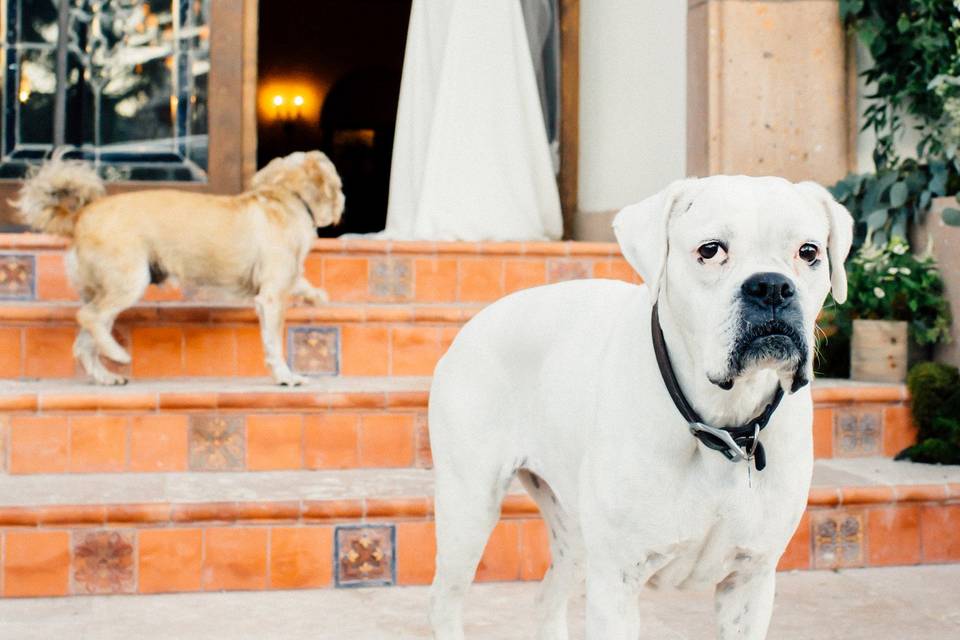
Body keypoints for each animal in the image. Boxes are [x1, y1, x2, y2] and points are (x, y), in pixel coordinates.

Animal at [15, 151, 344, 384]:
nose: (345, 199)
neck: (288, 196)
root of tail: (80, 216)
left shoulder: (282, 279)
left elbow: (304, 283)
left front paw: (317, 297)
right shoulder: (272, 297)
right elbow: (274, 343)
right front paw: (286, 377)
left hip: (104, 291)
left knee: (85, 340)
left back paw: (107, 375)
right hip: (129, 281)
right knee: (88, 317)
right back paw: (118, 355)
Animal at [428, 175, 856, 640]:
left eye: (809, 252)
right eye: (711, 250)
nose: (772, 286)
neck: (721, 422)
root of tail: (476, 320)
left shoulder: (751, 581)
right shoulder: (617, 581)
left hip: (574, 533)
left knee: (546, 597)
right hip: (469, 509)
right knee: (445, 601)